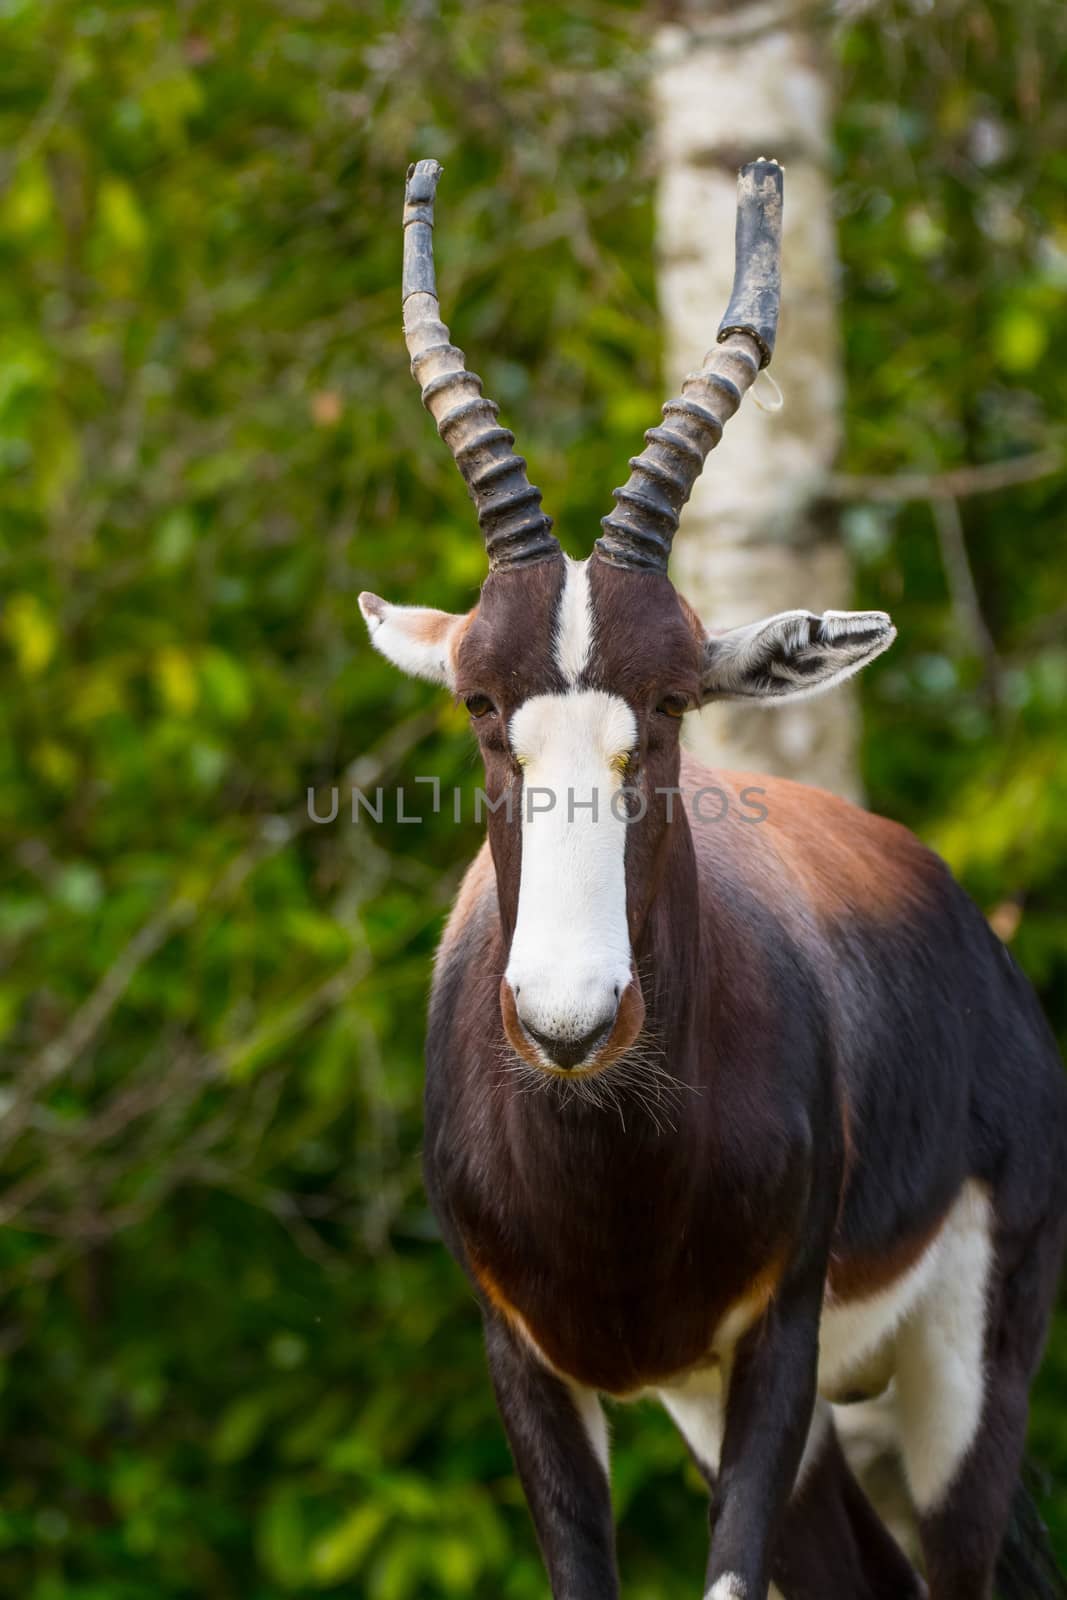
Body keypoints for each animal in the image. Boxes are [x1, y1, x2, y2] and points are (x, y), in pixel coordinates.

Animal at [361, 152, 1067, 1600]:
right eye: (478, 702)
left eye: (674, 697)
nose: (569, 1017)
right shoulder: (527, 1358)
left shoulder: (776, 1339)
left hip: (954, 1381)